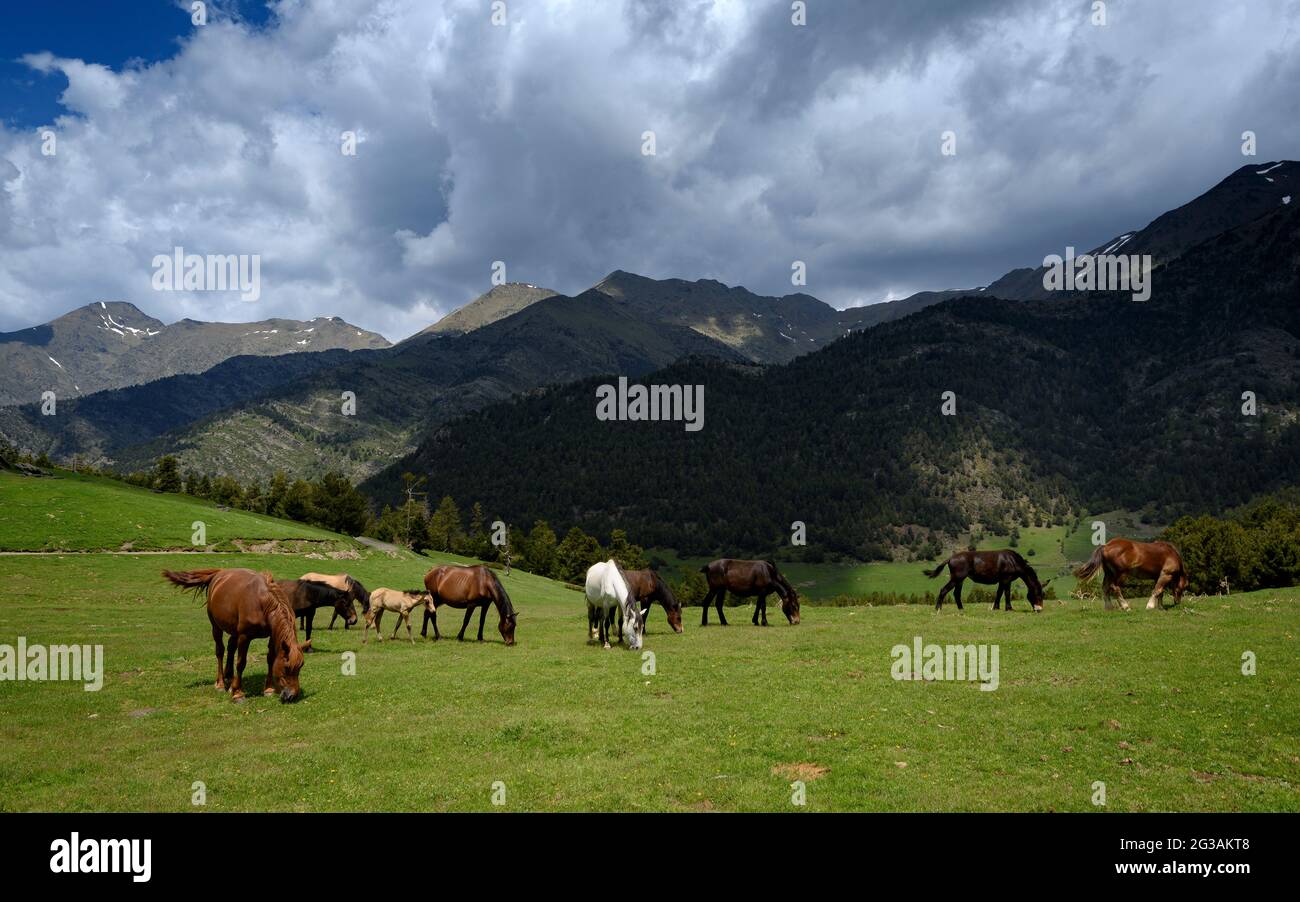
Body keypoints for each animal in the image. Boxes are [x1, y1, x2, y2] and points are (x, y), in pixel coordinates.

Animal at [162, 569, 309, 701]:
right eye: (286, 668)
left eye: (300, 667)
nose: (292, 696)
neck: (262, 602)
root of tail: (219, 573)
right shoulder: (244, 637)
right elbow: (241, 663)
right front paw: (238, 693)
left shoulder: (273, 636)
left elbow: (271, 659)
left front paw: (268, 689)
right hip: (216, 627)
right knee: (220, 651)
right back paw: (221, 684)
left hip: (234, 630)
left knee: (231, 647)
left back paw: (229, 677)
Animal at [920, 551, 1050, 616]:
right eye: (1037, 594)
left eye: (1043, 595)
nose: (1039, 610)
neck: (1013, 561)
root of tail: (951, 558)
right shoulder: (1006, 579)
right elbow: (1007, 593)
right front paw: (1009, 608)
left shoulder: (1002, 580)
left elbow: (999, 593)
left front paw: (996, 607)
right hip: (957, 578)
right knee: (943, 590)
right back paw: (938, 609)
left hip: (960, 580)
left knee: (956, 594)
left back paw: (961, 609)